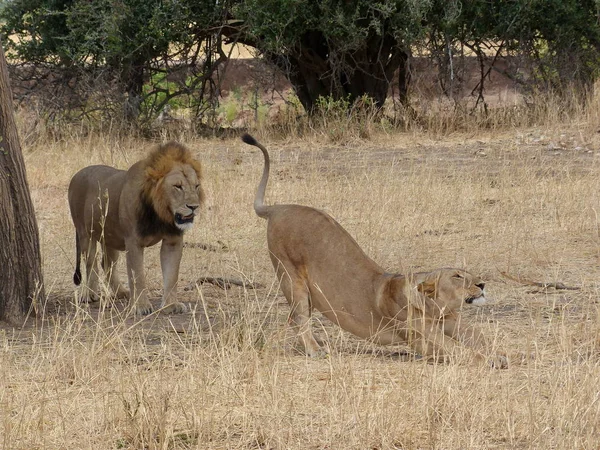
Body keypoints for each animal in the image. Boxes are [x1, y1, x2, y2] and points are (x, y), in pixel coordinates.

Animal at [68, 142, 204, 314]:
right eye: (177, 186)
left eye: (196, 186)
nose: (194, 207)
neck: (160, 215)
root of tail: (76, 174)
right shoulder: (133, 242)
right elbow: (137, 275)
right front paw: (141, 306)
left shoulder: (173, 241)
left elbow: (172, 275)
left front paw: (171, 305)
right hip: (85, 233)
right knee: (90, 264)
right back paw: (89, 294)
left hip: (110, 237)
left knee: (106, 263)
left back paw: (121, 292)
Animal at [241, 134, 504, 366]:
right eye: (457, 276)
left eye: (468, 273)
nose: (482, 284)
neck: (435, 308)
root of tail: (277, 208)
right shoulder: (420, 336)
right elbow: (459, 350)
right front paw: (488, 360)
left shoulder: (452, 322)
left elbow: (479, 337)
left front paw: (498, 355)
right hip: (291, 278)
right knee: (300, 317)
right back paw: (315, 350)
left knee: (294, 318)